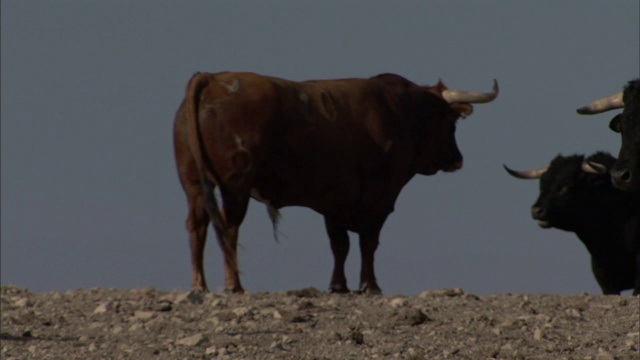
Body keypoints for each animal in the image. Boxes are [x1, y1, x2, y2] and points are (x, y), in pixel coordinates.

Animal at [175, 71, 500, 292]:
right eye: (451, 122)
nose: (457, 159)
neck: (400, 112)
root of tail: (215, 77)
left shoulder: (334, 201)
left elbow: (339, 245)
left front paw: (339, 286)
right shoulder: (379, 198)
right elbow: (368, 242)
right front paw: (370, 285)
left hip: (194, 184)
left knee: (197, 226)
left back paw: (199, 285)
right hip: (236, 186)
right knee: (228, 228)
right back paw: (233, 285)